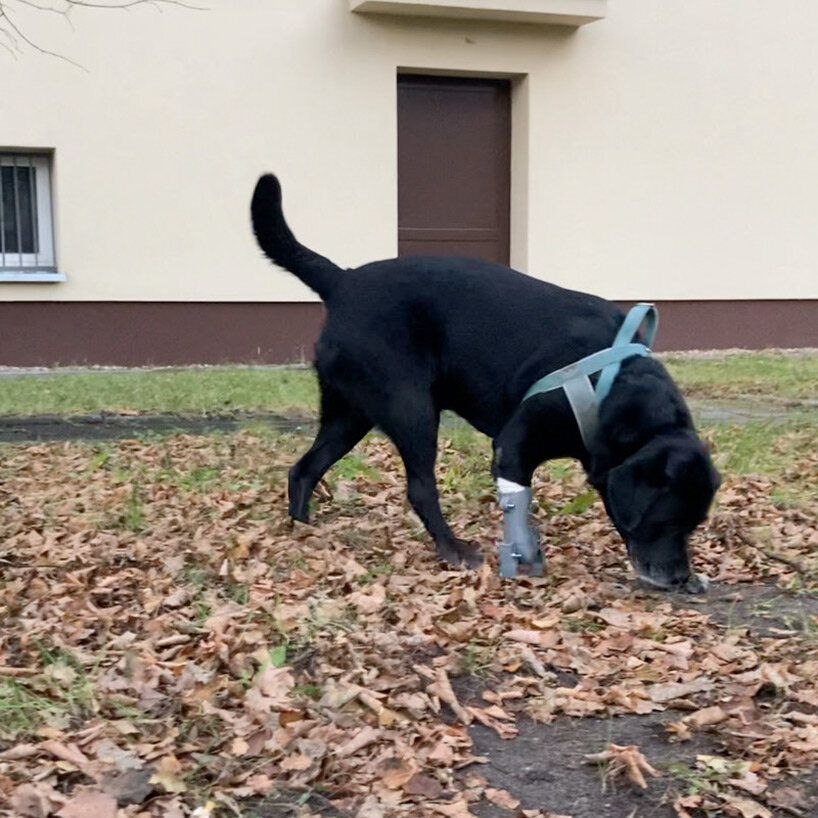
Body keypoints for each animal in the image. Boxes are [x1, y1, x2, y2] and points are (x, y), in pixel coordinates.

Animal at [252, 175, 716, 588]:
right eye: (666, 519)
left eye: (696, 523)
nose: (681, 579)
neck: (612, 387)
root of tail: (343, 279)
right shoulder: (513, 447)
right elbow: (518, 515)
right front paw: (524, 557)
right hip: (411, 407)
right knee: (420, 487)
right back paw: (453, 549)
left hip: (349, 414)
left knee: (304, 469)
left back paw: (304, 528)